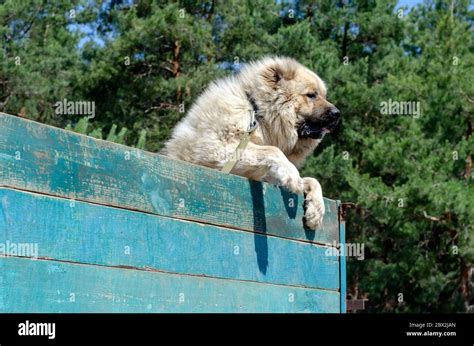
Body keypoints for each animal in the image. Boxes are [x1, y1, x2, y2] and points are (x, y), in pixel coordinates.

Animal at [163, 56, 340, 230]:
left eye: (323, 95)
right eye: (311, 95)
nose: (337, 113)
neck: (257, 113)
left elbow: (312, 180)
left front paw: (316, 210)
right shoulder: (213, 148)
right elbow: (273, 150)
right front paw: (292, 176)